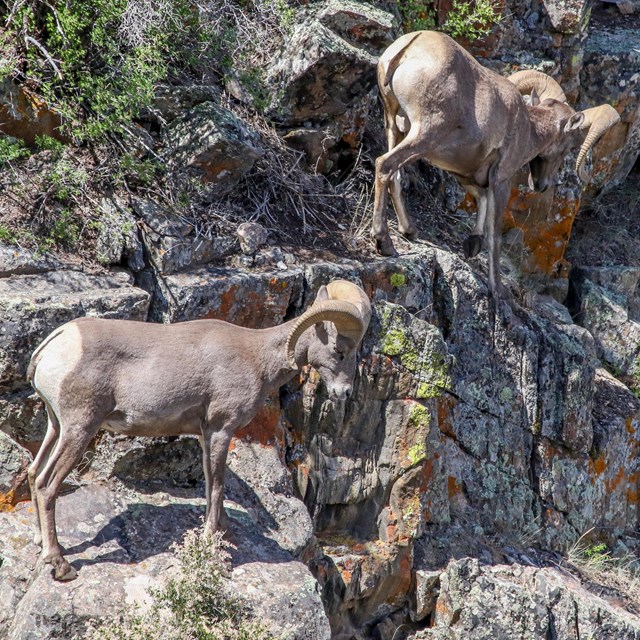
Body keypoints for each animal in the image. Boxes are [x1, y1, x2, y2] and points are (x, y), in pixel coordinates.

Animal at [28, 280, 370, 580]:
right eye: (339, 350)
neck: (258, 358)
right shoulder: (220, 430)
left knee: (33, 473)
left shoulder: (206, 435)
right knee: (46, 484)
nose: (345, 393)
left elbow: (209, 485)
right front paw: (211, 542)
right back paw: (60, 565)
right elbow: (217, 486)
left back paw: (41, 543)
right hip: (80, 428)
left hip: (56, 426)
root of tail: (55, 343)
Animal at [376, 31, 620, 296]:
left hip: (394, 126)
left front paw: (472, 244)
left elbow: (480, 201)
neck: (527, 126)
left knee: (395, 175)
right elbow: (495, 235)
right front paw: (497, 289)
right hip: (425, 133)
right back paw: (384, 244)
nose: (542, 185)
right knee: (384, 165)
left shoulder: (468, 174)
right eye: (569, 147)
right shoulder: (500, 180)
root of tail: (409, 48)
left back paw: (408, 230)